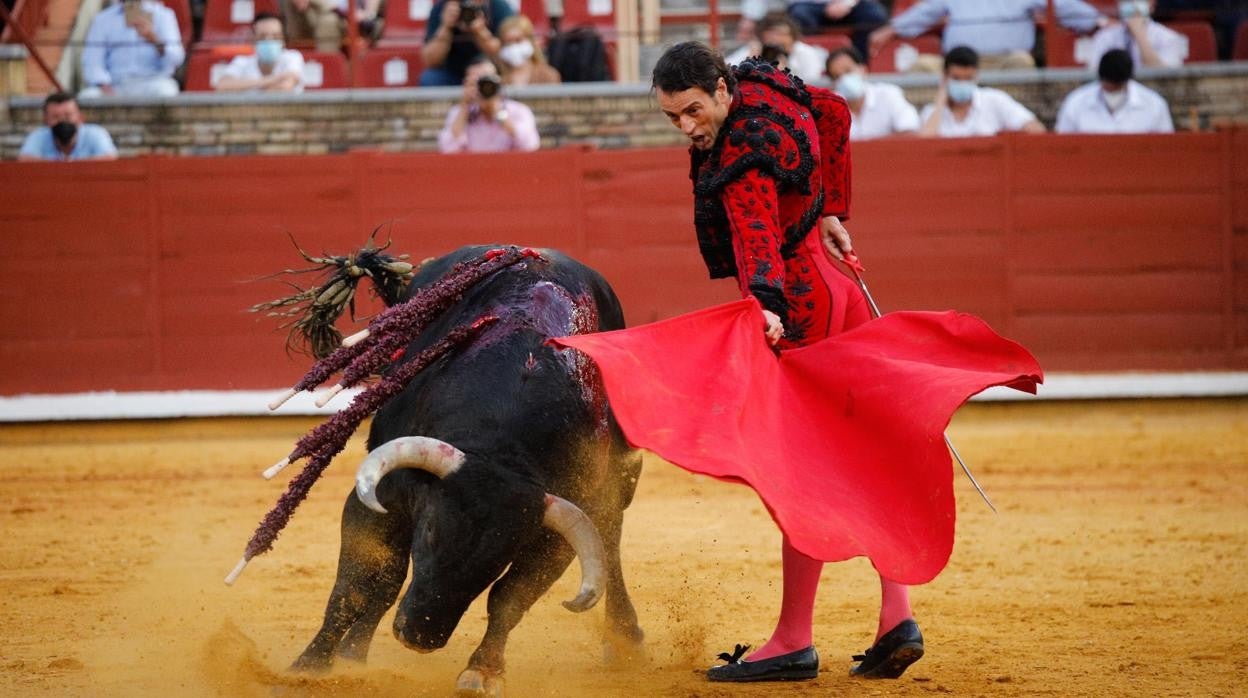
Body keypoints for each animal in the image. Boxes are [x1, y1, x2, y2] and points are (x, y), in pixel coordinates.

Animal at [270, 244, 643, 694]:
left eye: (501, 557)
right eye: (431, 529)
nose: (420, 636)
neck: (500, 442)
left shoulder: (556, 535)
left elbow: (508, 599)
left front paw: (482, 670)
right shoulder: (378, 500)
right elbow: (355, 586)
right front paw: (309, 667)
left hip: (618, 480)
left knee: (610, 536)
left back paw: (624, 640)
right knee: (389, 577)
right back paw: (353, 654)